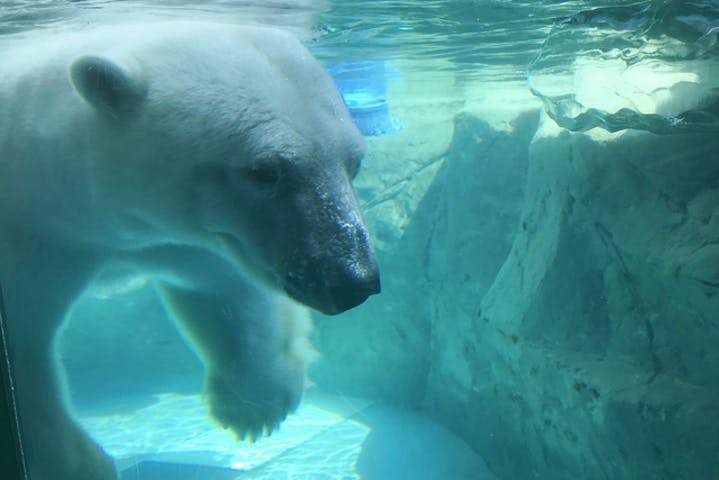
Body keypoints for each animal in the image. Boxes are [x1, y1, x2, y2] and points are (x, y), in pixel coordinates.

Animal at [0, 21, 380, 480]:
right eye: (265, 171)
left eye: (354, 162)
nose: (353, 280)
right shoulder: (35, 242)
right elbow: (24, 357)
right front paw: (81, 463)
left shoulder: (171, 236)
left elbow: (223, 289)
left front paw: (254, 405)